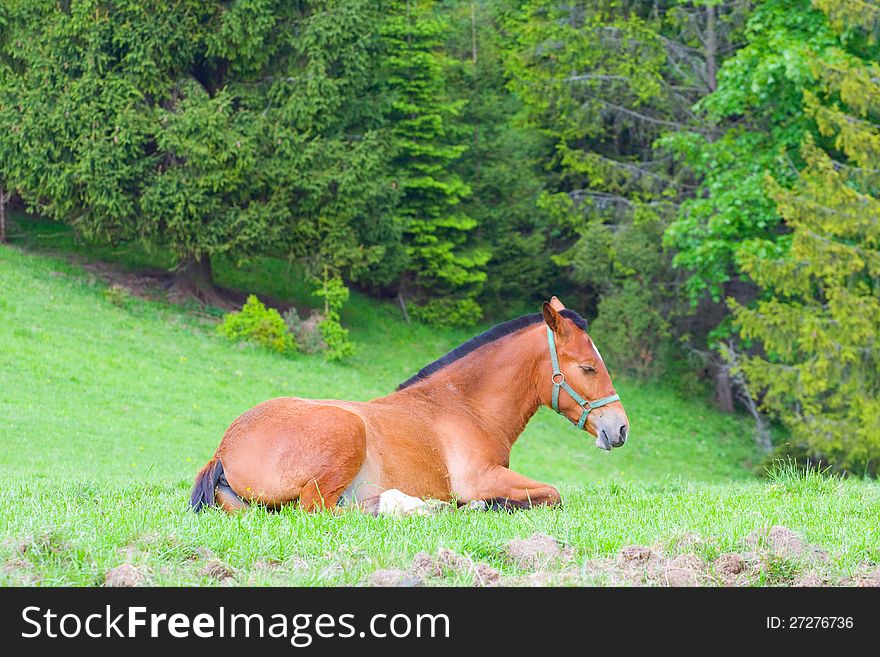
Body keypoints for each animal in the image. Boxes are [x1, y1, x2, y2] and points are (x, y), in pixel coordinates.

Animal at [189, 294, 628, 516]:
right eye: (588, 367)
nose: (619, 428)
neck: (462, 406)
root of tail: (224, 448)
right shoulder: (482, 478)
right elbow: (552, 494)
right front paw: (483, 506)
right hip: (344, 439)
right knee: (322, 512)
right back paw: (407, 505)